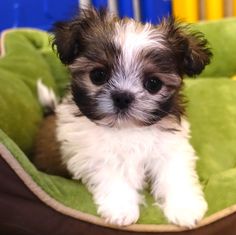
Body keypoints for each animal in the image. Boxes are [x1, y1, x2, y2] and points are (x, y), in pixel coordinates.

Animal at [33, 7, 212, 228]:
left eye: (153, 83)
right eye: (98, 75)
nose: (122, 96)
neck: (126, 128)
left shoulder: (170, 146)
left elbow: (175, 172)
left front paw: (184, 207)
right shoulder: (93, 154)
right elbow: (112, 175)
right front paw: (121, 208)